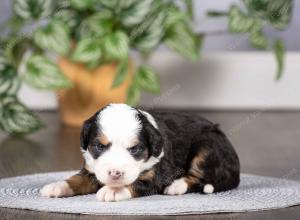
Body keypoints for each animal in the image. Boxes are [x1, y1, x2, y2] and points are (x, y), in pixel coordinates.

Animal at [41, 104, 240, 202]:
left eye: (135, 149)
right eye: (99, 146)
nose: (115, 173)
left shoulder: (156, 175)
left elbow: (137, 182)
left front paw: (113, 190)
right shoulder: (92, 170)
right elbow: (77, 179)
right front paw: (57, 186)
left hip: (206, 146)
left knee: (199, 176)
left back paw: (176, 186)